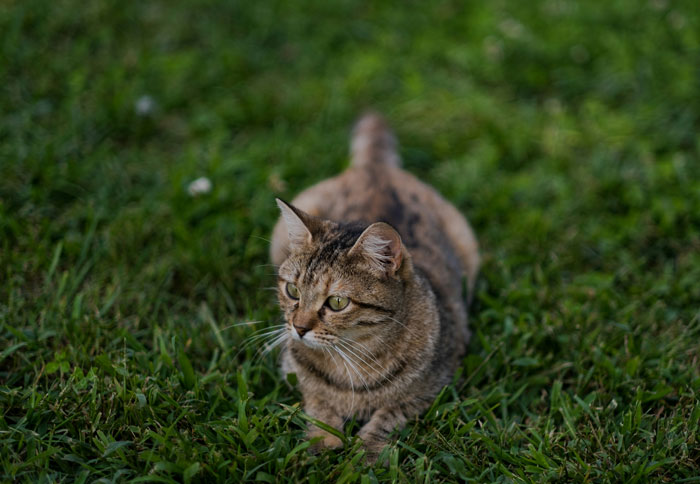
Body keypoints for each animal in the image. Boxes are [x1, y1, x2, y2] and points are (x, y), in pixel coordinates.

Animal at [270, 112, 478, 462]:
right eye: (293, 291)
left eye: (337, 302)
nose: (298, 328)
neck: (353, 361)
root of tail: (376, 167)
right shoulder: (297, 376)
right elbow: (317, 403)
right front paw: (323, 441)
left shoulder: (433, 386)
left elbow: (389, 415)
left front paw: (366, 452)